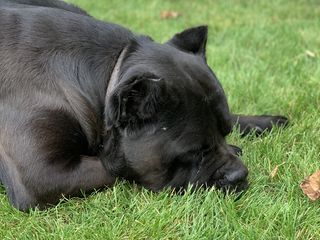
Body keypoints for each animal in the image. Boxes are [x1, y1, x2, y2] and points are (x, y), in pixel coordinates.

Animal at [0, 0, 288, 210]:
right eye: (195, 152)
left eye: (225, 132)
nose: (239, 175)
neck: (110, 73)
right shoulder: (44, 174)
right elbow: (118, 167)